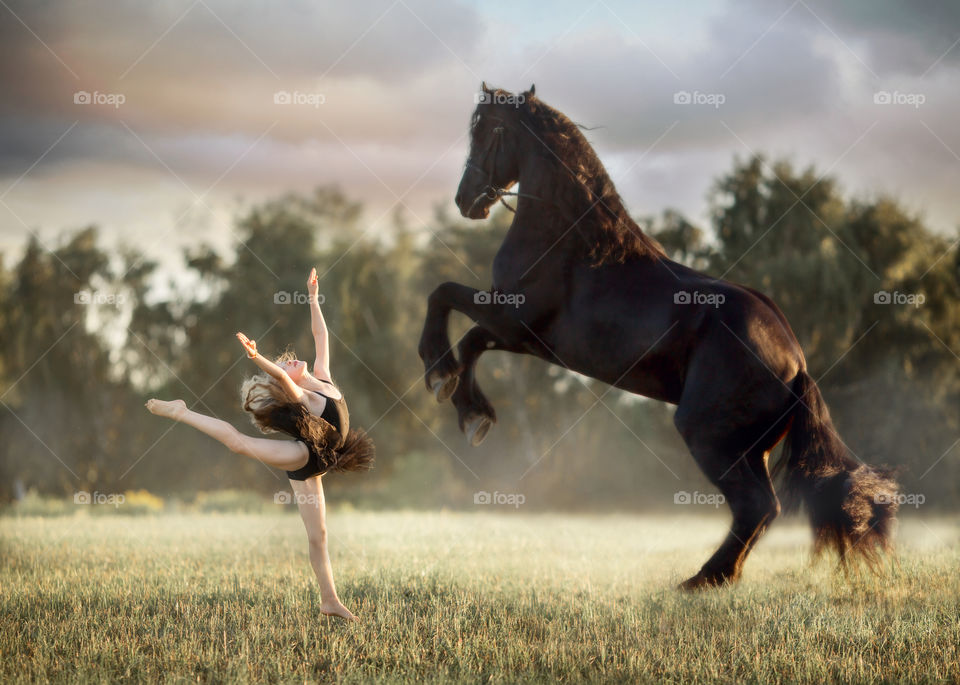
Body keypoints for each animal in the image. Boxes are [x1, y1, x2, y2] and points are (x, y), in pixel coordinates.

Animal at [420, 84, 900, 588]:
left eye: (487, 130)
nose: (466, 200)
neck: (567, 242)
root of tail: (796, 366)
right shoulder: (521, 335)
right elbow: (470, 341)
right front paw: (470, 411)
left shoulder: (514, 319)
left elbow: (444, 297)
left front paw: (441, 378)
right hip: (752, 450)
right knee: (762, 510)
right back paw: (719, 577)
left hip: (707, 435)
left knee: (756, 505)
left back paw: (700, 580)